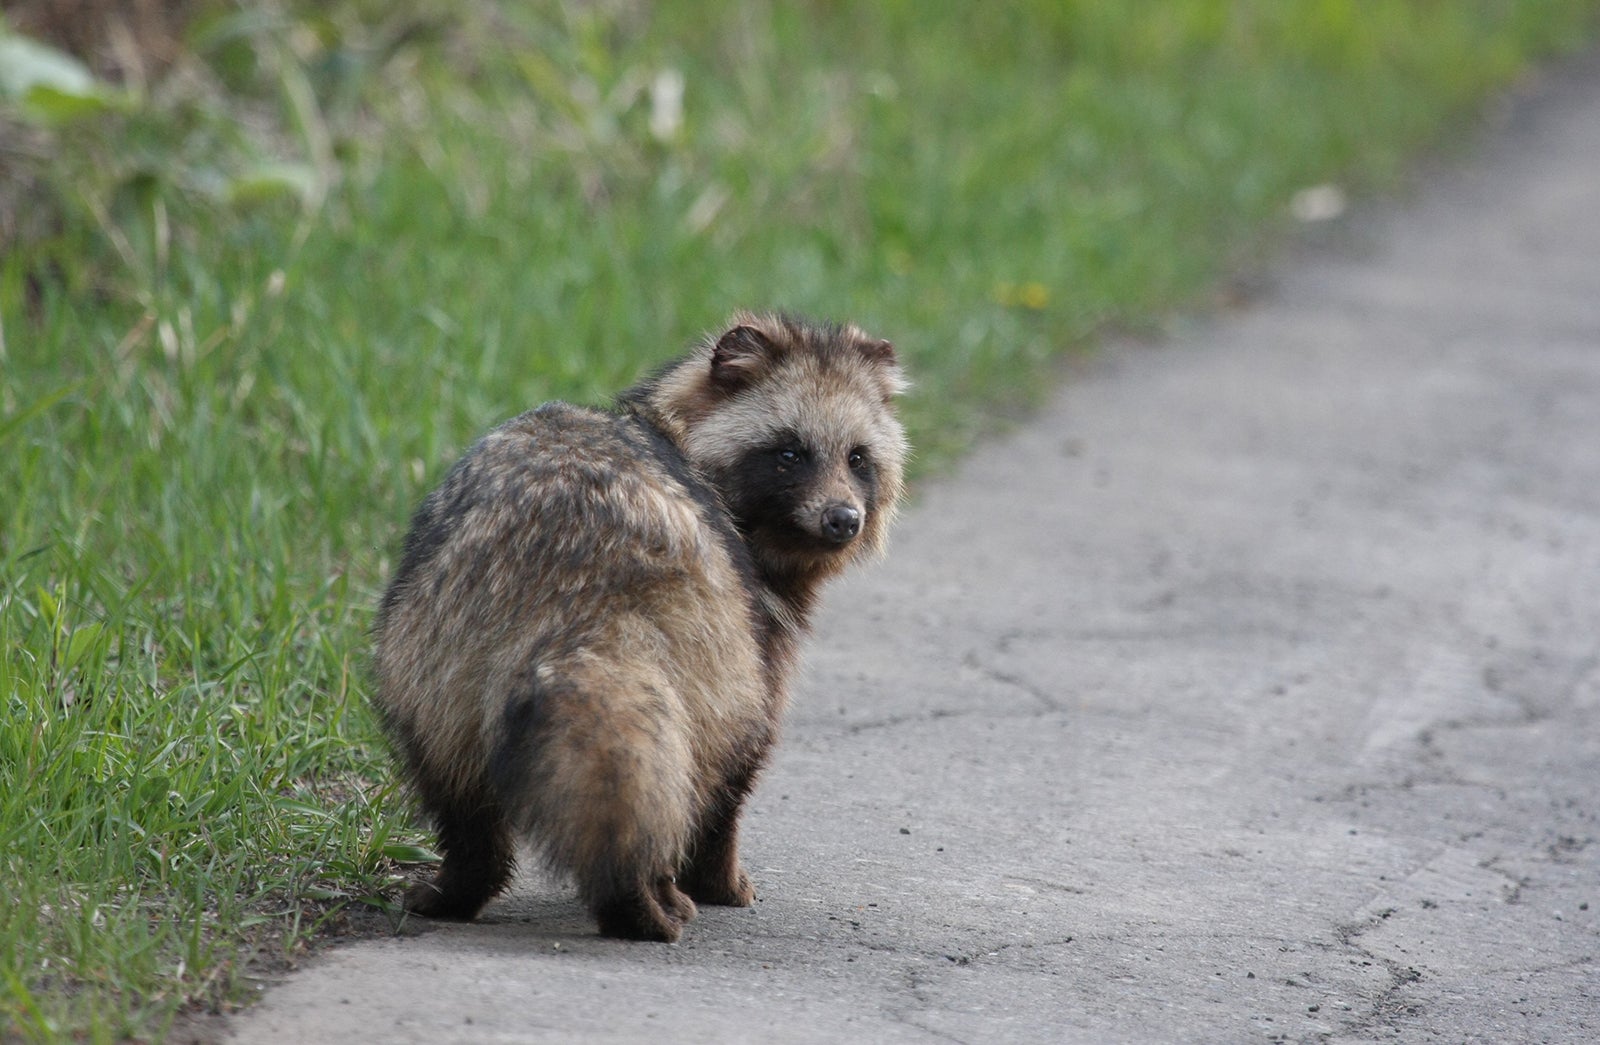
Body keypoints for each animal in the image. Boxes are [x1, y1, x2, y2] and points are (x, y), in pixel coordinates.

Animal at [366, 310, 908, 934]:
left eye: (858, 458)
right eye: (791, 453)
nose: (843, 519)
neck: (677, 430)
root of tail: (581, 576)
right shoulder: (754, 616)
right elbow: (741, 759)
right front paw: (717, 877)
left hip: (435, 638)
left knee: (454, 779)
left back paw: (467, 878)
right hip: (707, 632)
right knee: (711, 755)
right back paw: (652, 888)